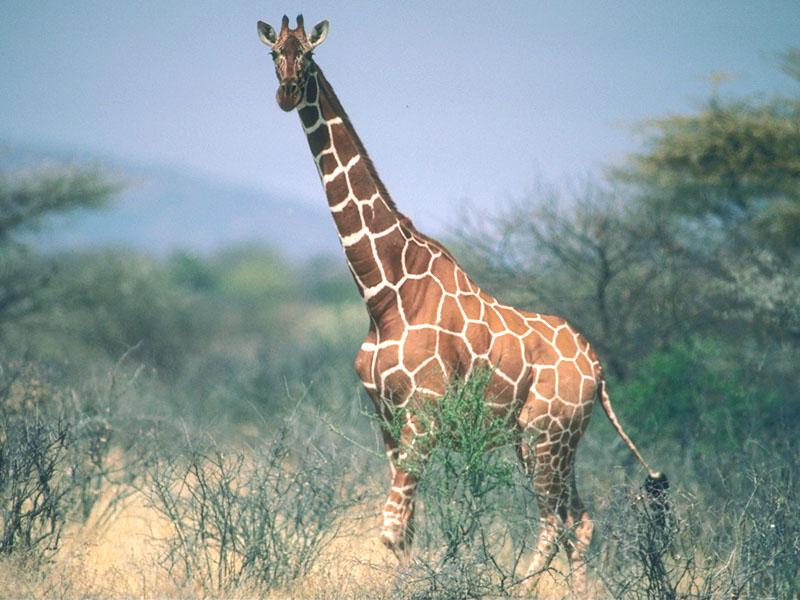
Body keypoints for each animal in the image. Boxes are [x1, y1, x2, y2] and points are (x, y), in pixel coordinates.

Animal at [258, 15, 668, 596]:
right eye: (274, 54)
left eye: (309, 56)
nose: (288, 92)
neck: (384, 292)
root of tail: (599, 369)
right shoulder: (385, 416)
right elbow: (403, 528)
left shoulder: (423, 412)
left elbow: (392, 527)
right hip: (553, 441)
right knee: (579, 520)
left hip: (545, 435)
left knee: (555, 522)